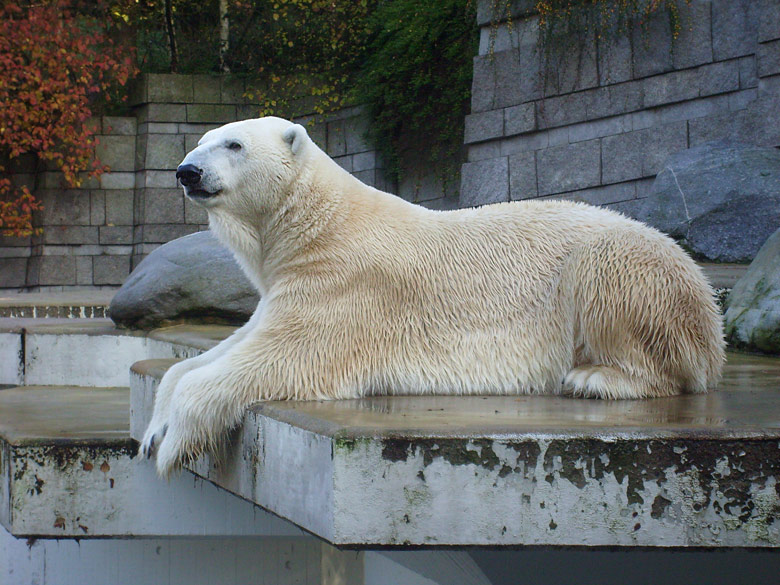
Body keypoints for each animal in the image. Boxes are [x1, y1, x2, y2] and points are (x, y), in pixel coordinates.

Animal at [140, 116, 724, 476]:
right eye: (201, 140)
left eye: (234, 144)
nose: (187, 171)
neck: (318, 225)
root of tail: (709, 311)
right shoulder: (291, 283)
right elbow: (216, 352)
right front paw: (152, 429)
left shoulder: (348, 285)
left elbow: (287, 355)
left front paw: (173, 443)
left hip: (628, 268)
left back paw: (595, 378)